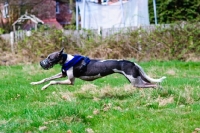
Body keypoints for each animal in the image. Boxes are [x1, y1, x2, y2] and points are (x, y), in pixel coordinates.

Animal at [30, 48, 166, 90]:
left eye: (50, 58)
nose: (41, 63)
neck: (66, 60)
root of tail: (132, 62)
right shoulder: (63, 75)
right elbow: (46, 78)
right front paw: (35, 83)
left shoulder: (70, 81)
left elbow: (52, 81)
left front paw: (43, 87)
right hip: (137, 80)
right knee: (153, 84)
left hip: (136, 83)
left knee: (154, 85)